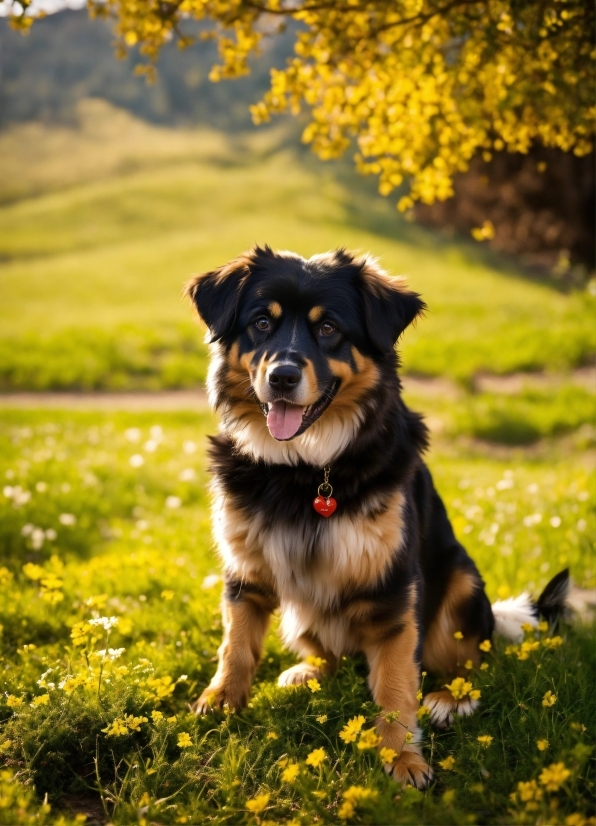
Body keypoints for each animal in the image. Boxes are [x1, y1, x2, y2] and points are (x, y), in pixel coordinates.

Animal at [186, 243, 568, 784]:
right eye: (262, 322)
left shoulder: (392, 585)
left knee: (473, 664)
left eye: (329, 328)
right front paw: (219, 704)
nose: (281, 377)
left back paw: (449, 699)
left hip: (462, 585)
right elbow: (235, 645)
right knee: (330, 654)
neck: (305, 470)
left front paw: (403, 759)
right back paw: (307, 673)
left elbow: (394, 685)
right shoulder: (246, 568)